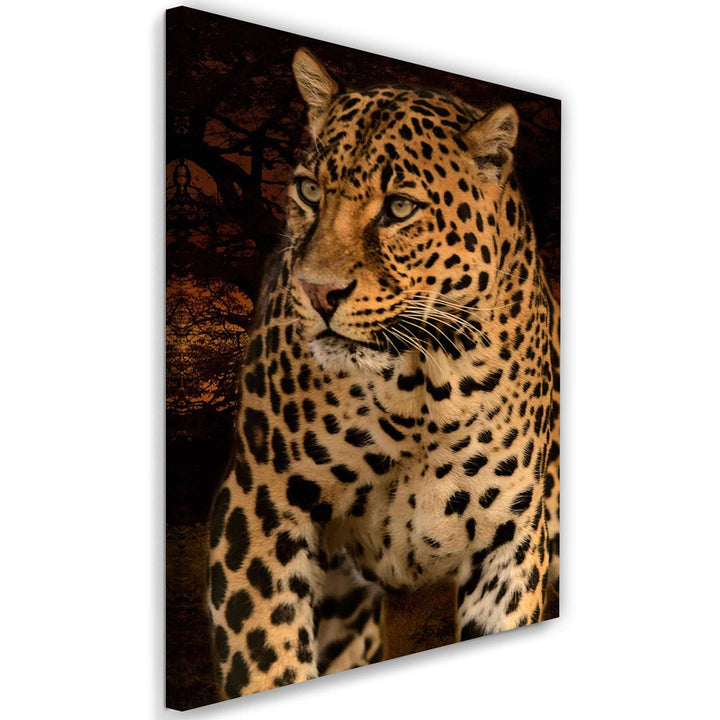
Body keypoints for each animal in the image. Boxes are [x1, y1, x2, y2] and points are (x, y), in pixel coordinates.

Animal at [207, 48, 560, 699]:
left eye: (399, 208)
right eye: (309, 190)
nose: (316, 291)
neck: (422, 385)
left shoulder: (508, 540)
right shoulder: (260, 509)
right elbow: (269, 663)